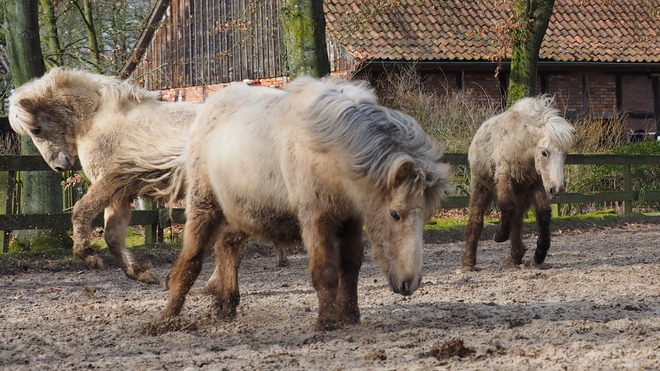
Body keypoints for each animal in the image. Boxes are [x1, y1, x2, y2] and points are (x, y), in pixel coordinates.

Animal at [7, 68, 292, 282]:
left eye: (36, 129)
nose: (59, 166)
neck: (99, 117)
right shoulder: (120, 194)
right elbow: (112, 236)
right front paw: (140, 273)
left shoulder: (109, 182)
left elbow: (81, 211)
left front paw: (88, 255)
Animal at [157, 76, 452, 332]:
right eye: (395, 214)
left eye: (426, 216)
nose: (409, 283)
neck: (331, 151)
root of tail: (206, 111)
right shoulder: (317, 219)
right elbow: (325, 271)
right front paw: (327, 322)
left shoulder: (351, 219)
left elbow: (351, 265)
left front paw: (350, 316)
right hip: (204, 205)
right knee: (192, 258)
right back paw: (169, 317)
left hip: (241, 211)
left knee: (227, 249)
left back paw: (226, 307)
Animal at [462, 94, 576, 272]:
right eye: (544, 153)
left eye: (565, 154)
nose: (556, 190)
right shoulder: (504, 177)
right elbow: (507, 207)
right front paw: (499, 235)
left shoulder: (537, 183)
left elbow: (544, 213)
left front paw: (539, 255)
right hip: (482, 186)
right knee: (477, 218)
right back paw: (468, 262)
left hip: (523, 194)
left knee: (517, 220)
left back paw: (516, 255)